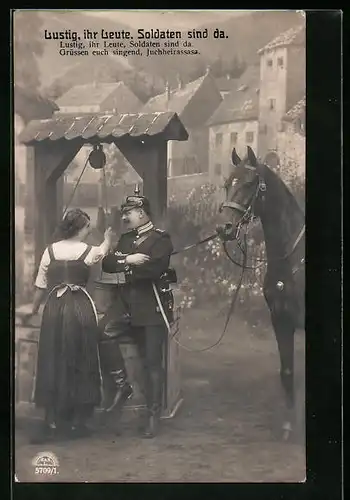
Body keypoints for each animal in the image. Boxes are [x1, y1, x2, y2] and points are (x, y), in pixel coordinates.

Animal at [217, 145, 304, 438]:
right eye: (226, 184)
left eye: (248, 183)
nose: (224, 228)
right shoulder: (281, 320)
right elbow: (287, 371)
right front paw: (290, 426)